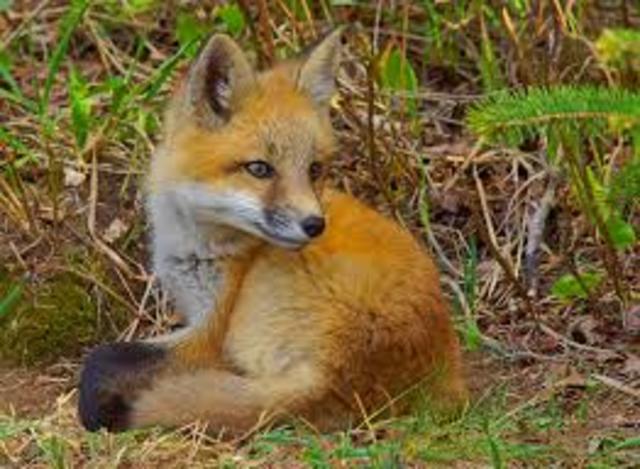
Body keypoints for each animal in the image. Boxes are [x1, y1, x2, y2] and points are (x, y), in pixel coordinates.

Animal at [78, 29, 467, 435]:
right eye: (259, 168)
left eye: (314, 169)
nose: (315, 225)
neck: (200, 243)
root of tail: (348, 377)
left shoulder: (211, 334)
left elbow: (103, 357)